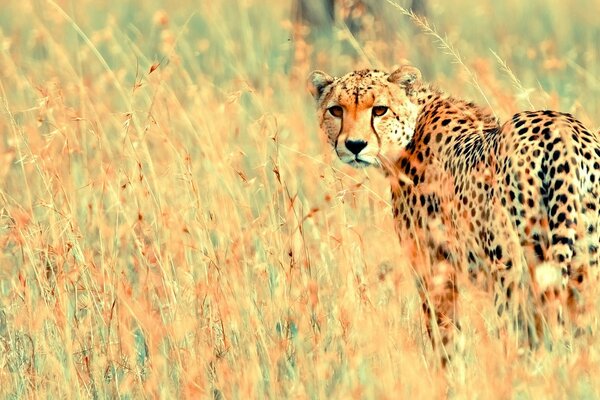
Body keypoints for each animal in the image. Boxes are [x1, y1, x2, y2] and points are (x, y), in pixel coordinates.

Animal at [310, 65, 600, 366]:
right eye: (336, 110)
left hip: (512, 267)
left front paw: (447, 371)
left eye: (379, 110)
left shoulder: (433, 265)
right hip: (583, 264)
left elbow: (443, 332)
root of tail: (561, 129)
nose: (355, 145)